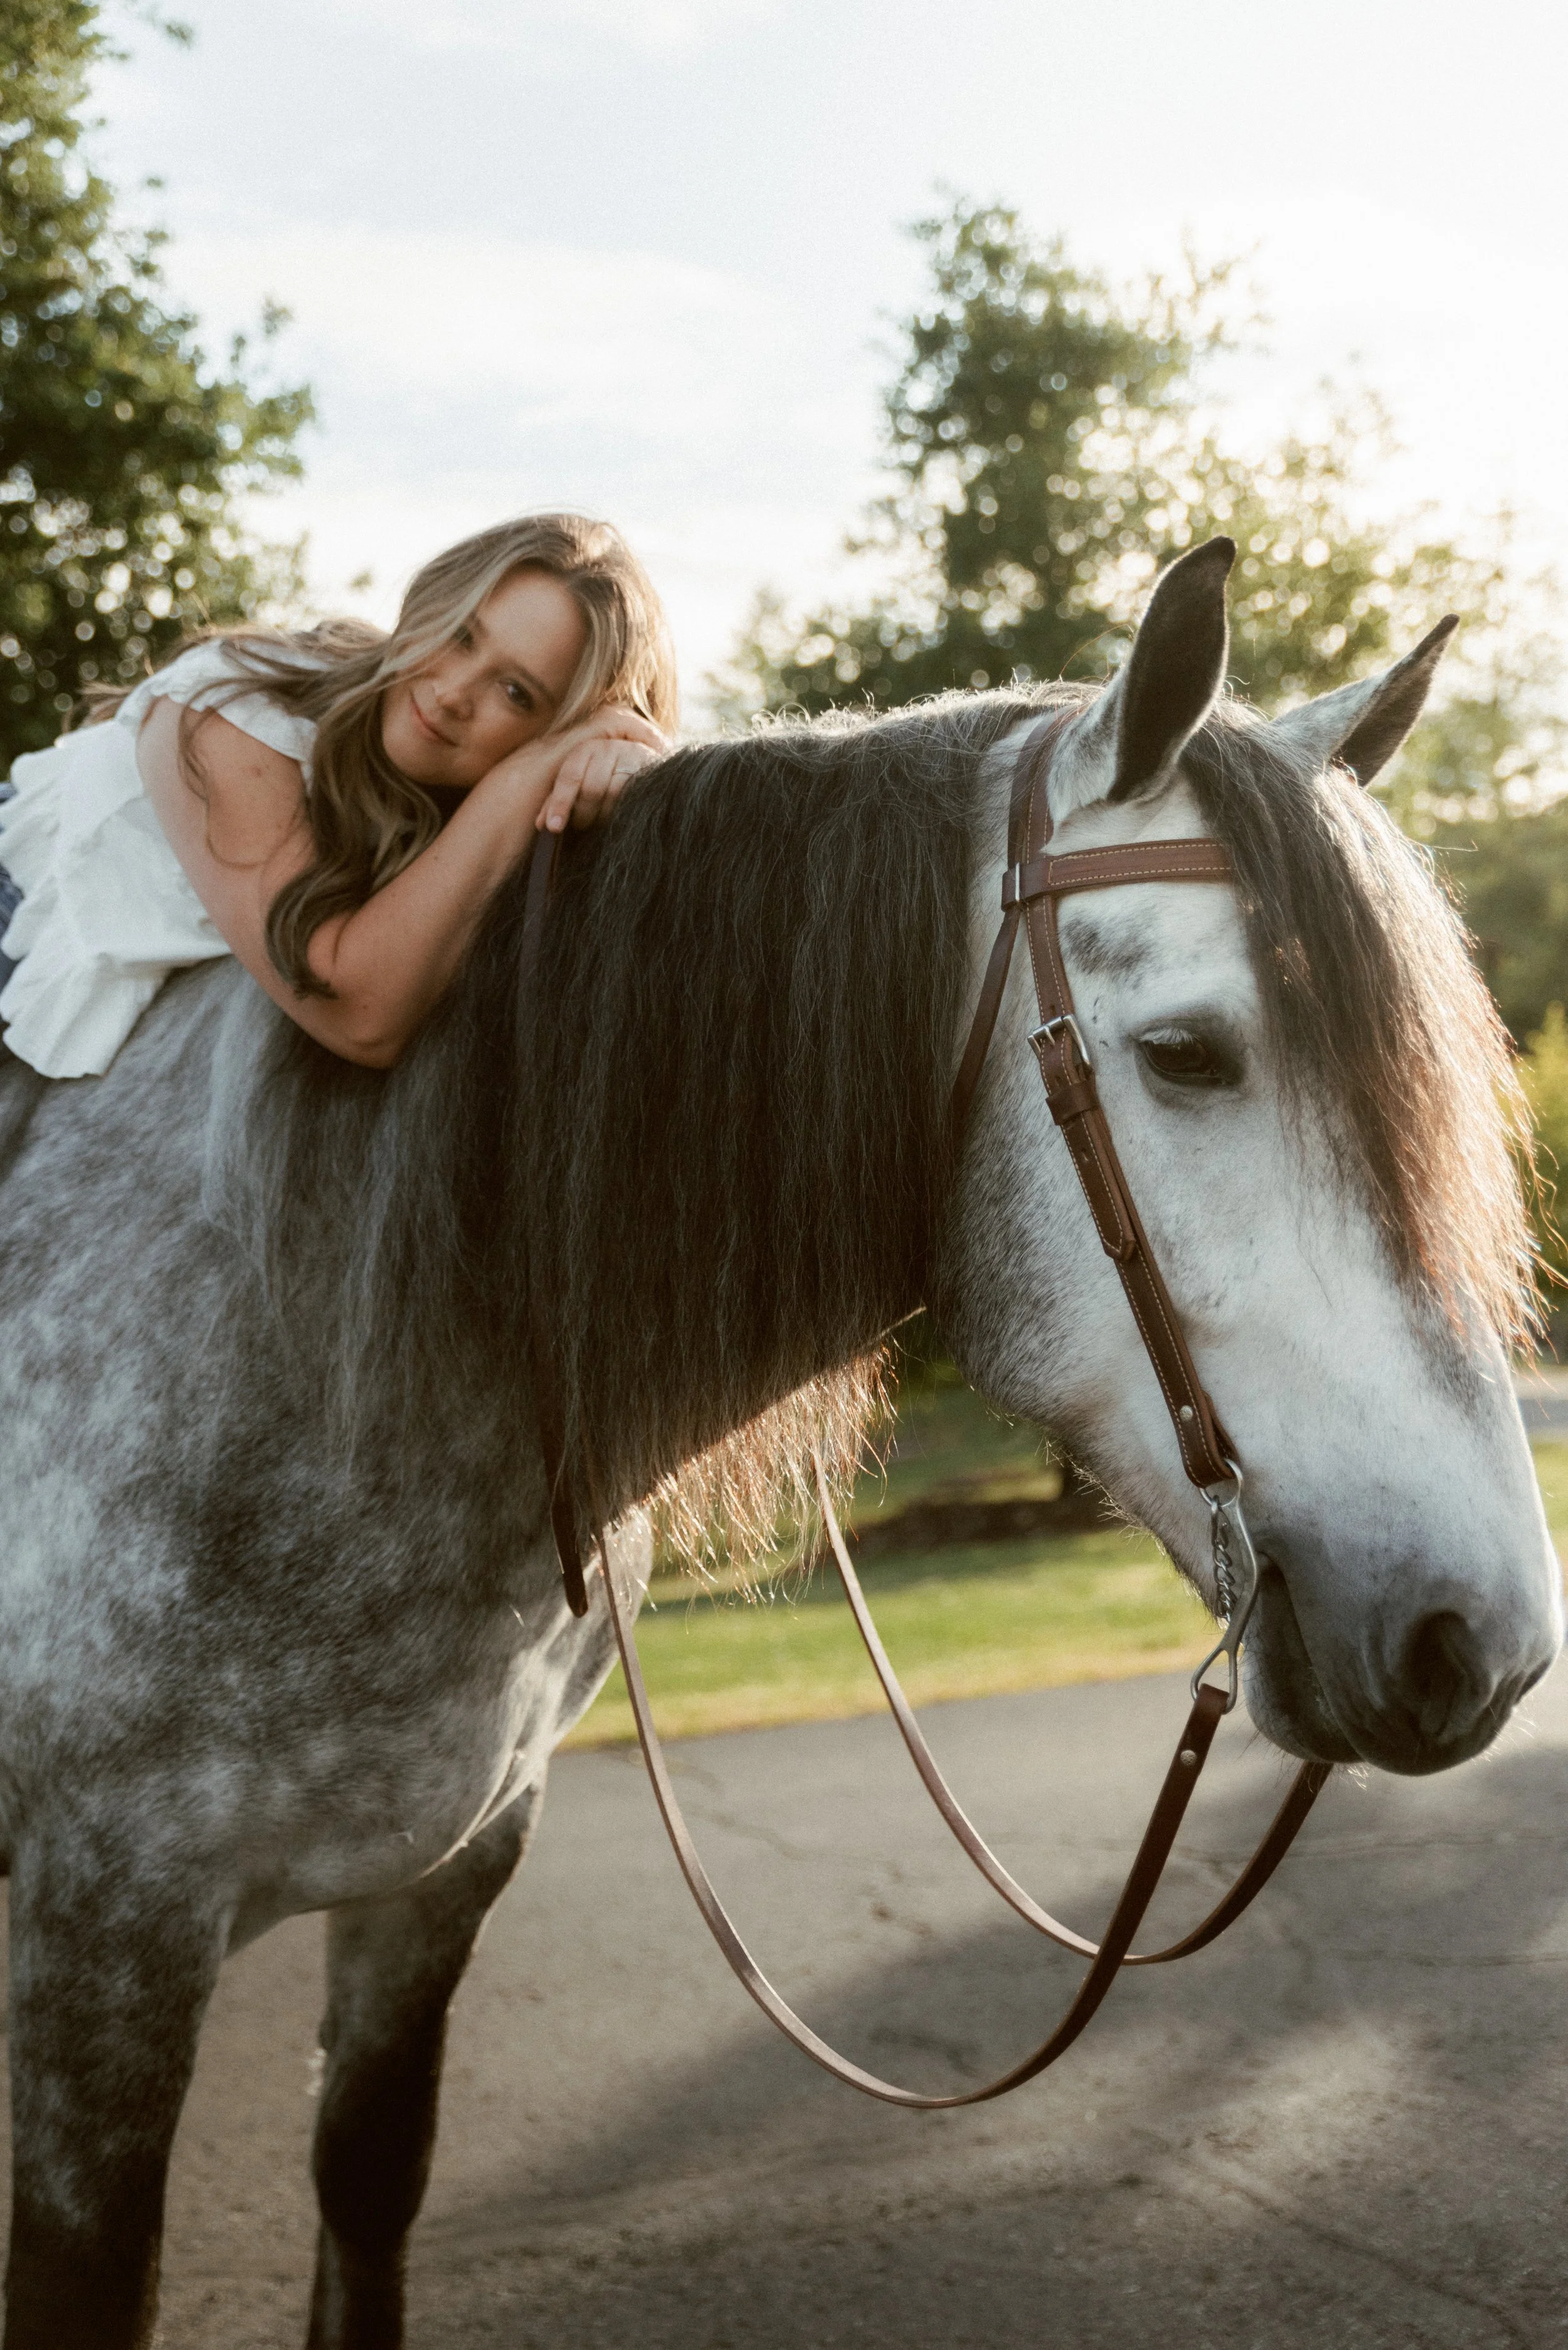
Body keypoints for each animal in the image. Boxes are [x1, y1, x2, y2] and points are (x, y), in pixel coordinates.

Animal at [0, 541, 1558, 2348]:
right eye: (1185, 1054)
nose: (1483, 1641)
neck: (316, 1336)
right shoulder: (106, 1931)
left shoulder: (435, 1884)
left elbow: (366, 2194)